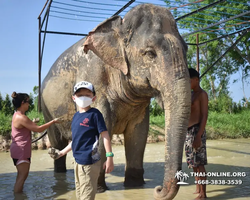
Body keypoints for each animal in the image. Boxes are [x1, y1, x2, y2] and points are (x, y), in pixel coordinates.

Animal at [41, 3, 190, 200]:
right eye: (150, 53)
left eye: (186, 50)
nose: (158, 190)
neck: (119, 27)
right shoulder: (94, 79)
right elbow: (101, 130)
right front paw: (99, 189)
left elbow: (138, 134)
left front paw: (135, 186)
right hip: (46, 110)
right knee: (57, 142)